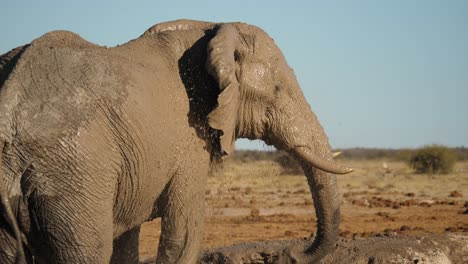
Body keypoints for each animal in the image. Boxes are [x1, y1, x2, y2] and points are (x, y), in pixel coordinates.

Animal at [0, 19, 352, 262]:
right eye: (278, 90)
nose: (291, 253)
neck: (211, 31)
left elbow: (127, 242)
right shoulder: (189, 137)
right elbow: (184, 232)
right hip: (74, 176)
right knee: (89, 249)